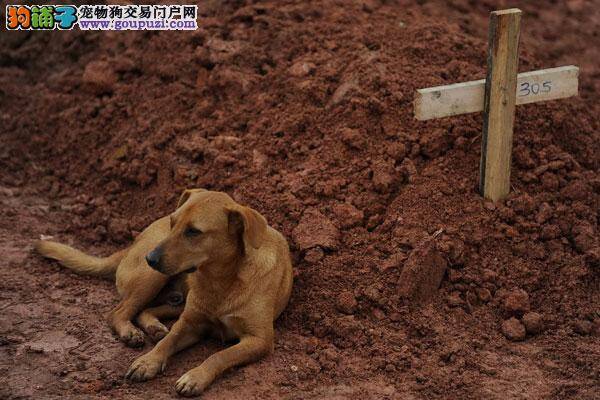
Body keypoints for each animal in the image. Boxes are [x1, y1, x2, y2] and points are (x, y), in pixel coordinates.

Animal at [35, 189, 292, 396]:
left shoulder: (259, 340)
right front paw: (148, 361)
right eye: (173, 222)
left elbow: (220, 355)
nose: (150, 258)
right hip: (152, 280)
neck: (220, 279)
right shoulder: (190, 323)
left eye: (193, 231)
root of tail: (131, 245)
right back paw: (132, 331)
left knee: (143, 311)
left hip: (174, 298)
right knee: (119, 311)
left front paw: (195, 376)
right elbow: (169, 341)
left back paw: (153, 327)